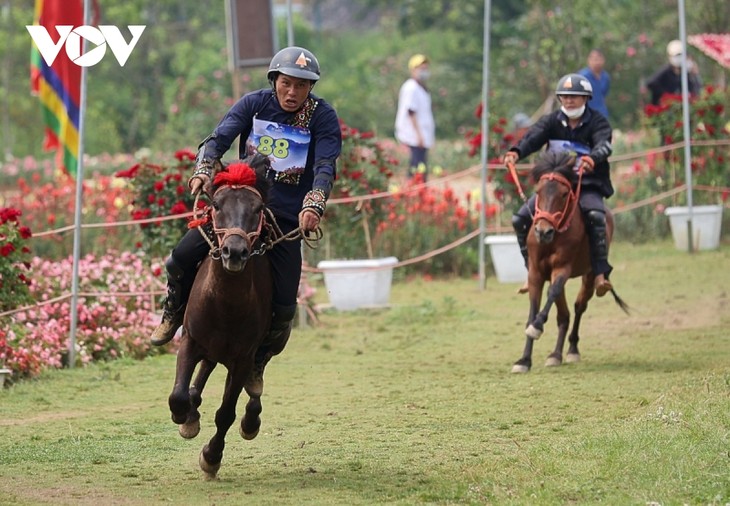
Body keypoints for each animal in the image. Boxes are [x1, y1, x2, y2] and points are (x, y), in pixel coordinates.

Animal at [166, 154, 278, 478]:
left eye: (257, 208)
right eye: (216, 204)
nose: (234, 252)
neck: (226, 306)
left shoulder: (242, 359)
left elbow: (226, 413)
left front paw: (211, 457)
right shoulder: (190, 341)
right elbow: (178, 395)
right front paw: (185, 416)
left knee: (254, 386)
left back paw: (251, 418)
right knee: (204, 369)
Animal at [512, 149, 624, 372]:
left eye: (564, 194)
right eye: (538, 191)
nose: (543, 231)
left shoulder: (562, 269)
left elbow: (552, 294)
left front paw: (537, 327)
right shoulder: (536, 273)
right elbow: (533, 310)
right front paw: (524, 360)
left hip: (589, 274)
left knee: (579, 307)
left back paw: (571, 350)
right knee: (563, 315)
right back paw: (555, 355)